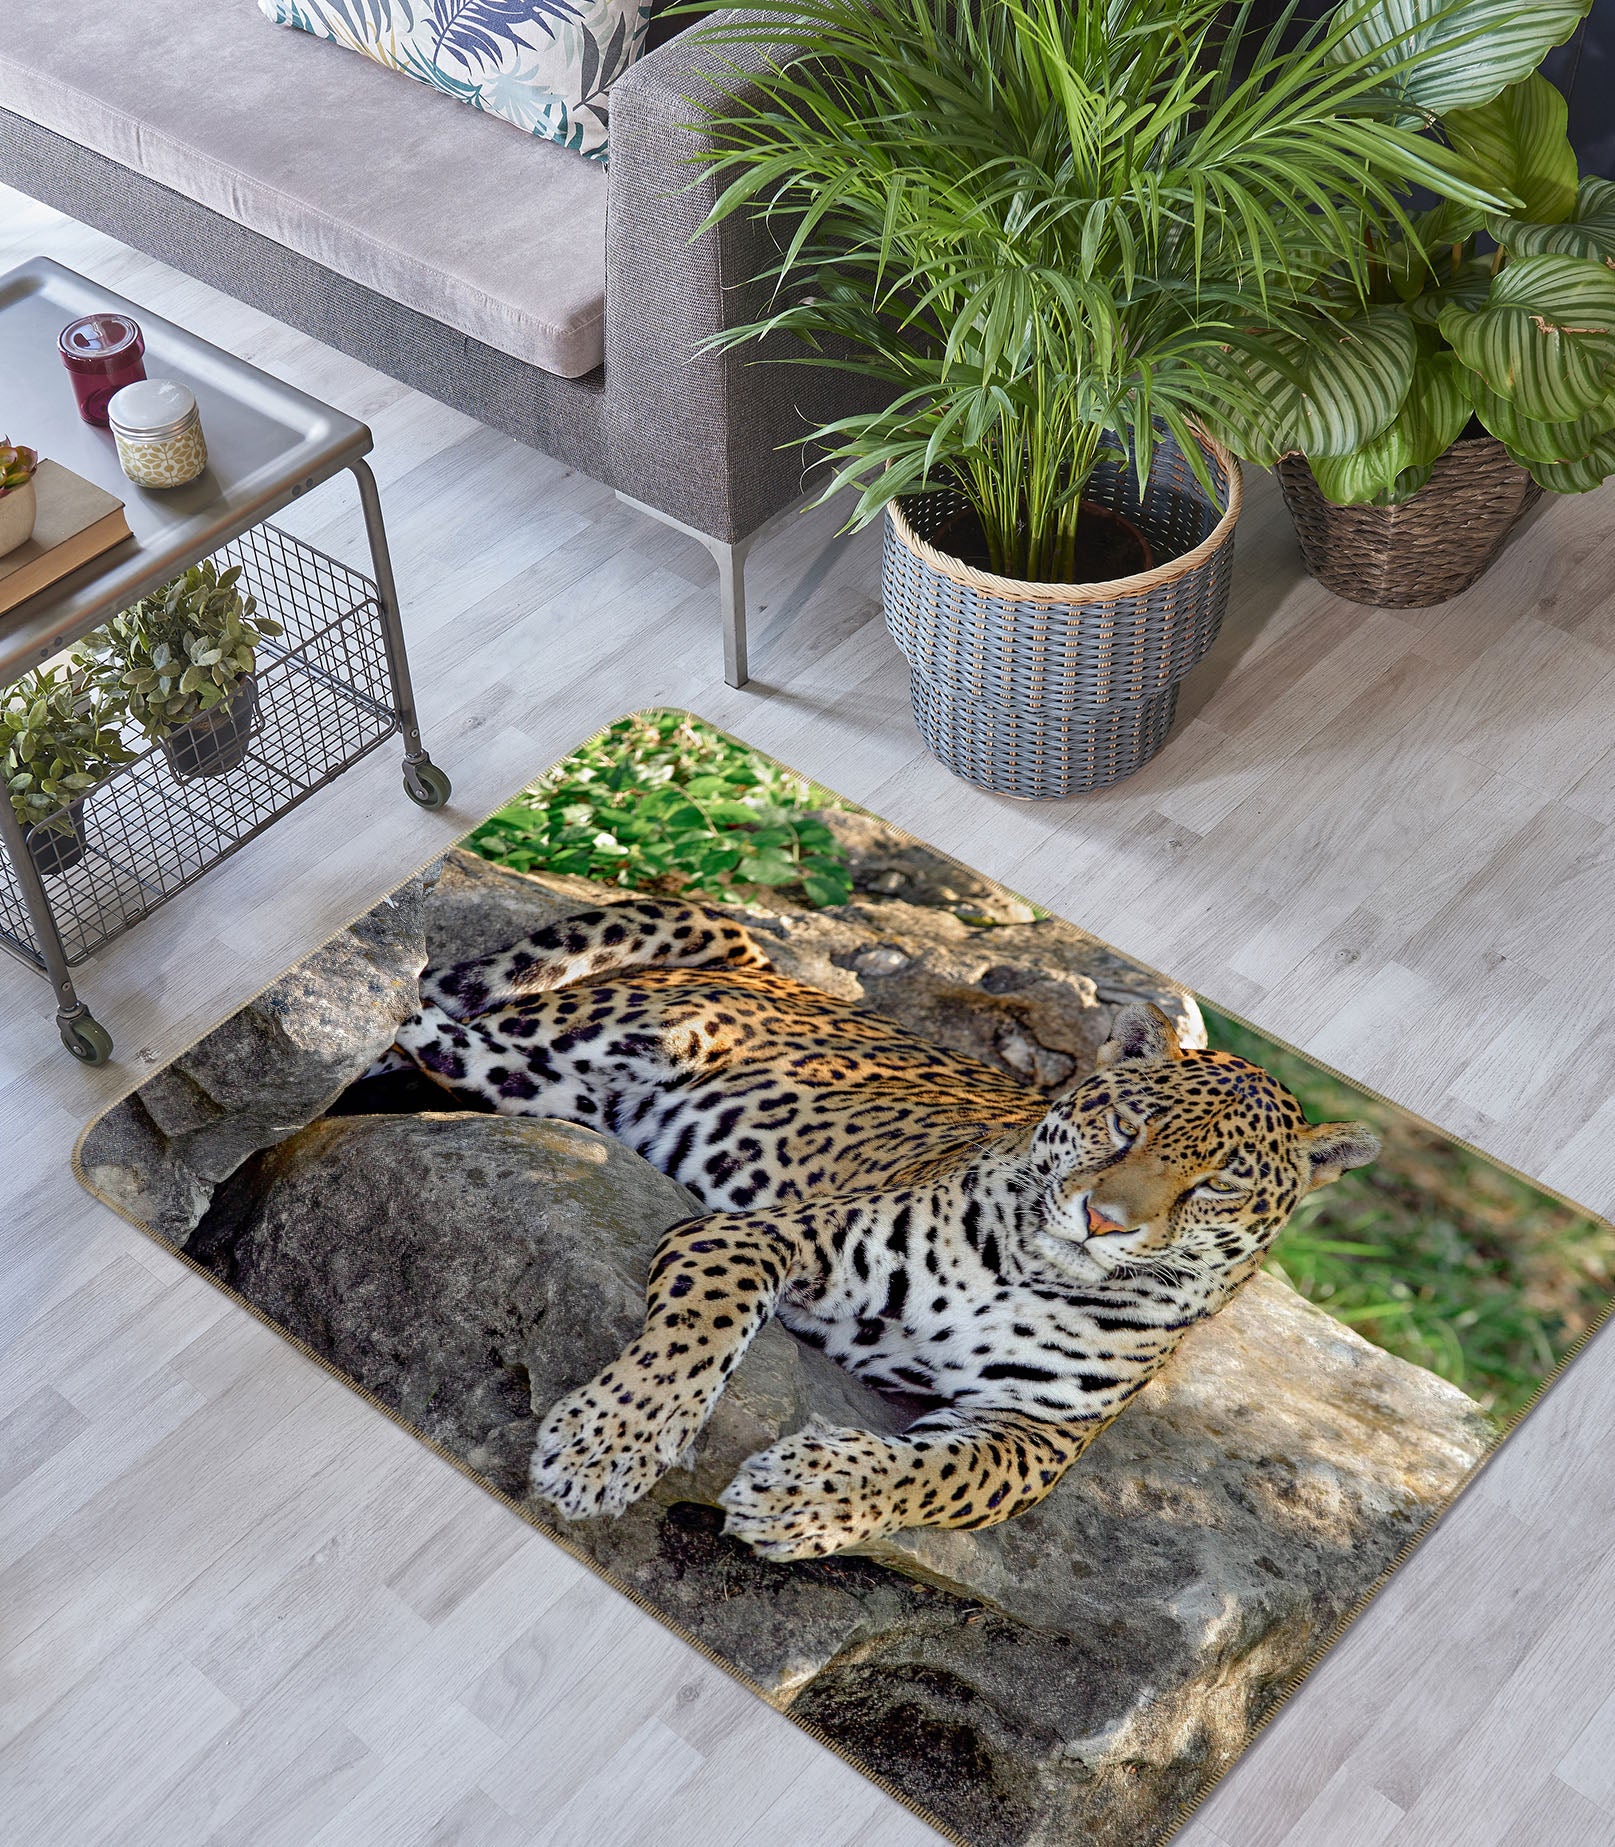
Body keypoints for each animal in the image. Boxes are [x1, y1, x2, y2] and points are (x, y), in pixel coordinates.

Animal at [383, 895, 1379, 1561]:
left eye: (1217, 1182)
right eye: (1126, 1125)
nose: (1102, 1218)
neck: (1041, 1274)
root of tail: (764, 965)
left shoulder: (1036, 1438)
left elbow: (939, 1478)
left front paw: (798, 1498)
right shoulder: (754, 1236)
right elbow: (695, 1337)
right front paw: (606, 1447)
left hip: (553, 1090)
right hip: (556, 1046)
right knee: (412, 1020)